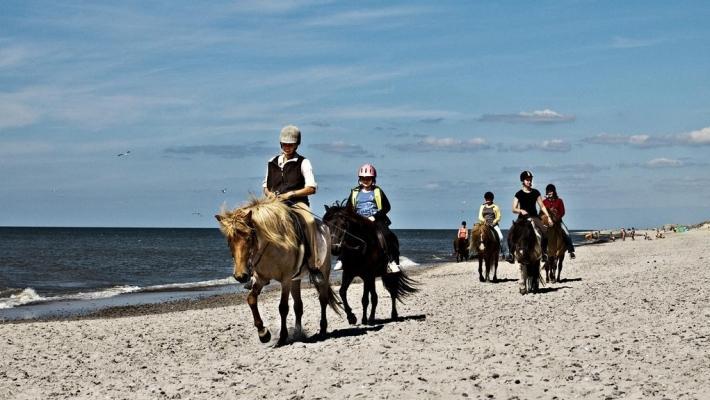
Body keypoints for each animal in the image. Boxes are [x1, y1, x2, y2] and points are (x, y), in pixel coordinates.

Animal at [216, 196, 340, 344]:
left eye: (249, 237)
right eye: (229, 241)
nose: (241, 276)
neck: (273, 246)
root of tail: (324, 227)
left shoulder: (285, 279)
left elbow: (283, 307)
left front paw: (282, 336)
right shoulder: (261, 278)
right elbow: (251, 299)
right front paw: (263, 333)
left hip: (323, 272)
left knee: (323, 299)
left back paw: (322, 330)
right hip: (295, 279)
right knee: (298, 306)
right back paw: (298, 334)